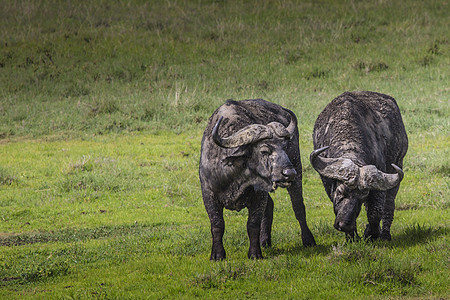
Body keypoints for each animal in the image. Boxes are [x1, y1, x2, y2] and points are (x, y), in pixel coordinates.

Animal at [199, 98, 314, 260]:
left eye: (284, 147)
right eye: (264, 151)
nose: (289, 172)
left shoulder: (259, 195)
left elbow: (253, 224)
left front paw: (254, 253)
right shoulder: (208, 194)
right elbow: (217, 224)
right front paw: (217, 254)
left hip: (296, 172)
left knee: (298, 207)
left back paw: (308, 239)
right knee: (271, 206)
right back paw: (265, 240)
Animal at [310, 91, 408, 241]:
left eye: (362, 197)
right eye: (341, 192)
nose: (344, 225)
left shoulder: (379, 181)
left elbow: (375, 211)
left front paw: (371, 233)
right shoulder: (327, 182)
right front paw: (351, 237)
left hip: (397, 166)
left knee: (388, 204)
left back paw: (385, 234)